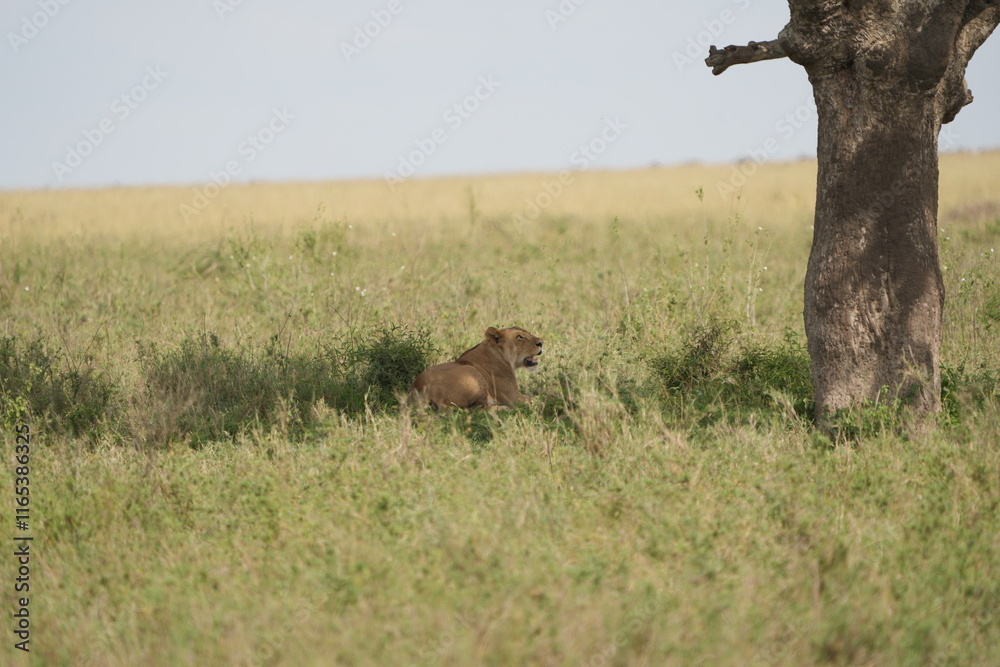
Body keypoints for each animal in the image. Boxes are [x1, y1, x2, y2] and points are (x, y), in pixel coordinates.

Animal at [410, 326, 544, 408]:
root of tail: (419, 387)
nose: (541, 342)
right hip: (472, 373)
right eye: (519, 337)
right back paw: (502, 409)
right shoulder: (512, 397)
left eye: (528, 333)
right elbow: (537, 401)